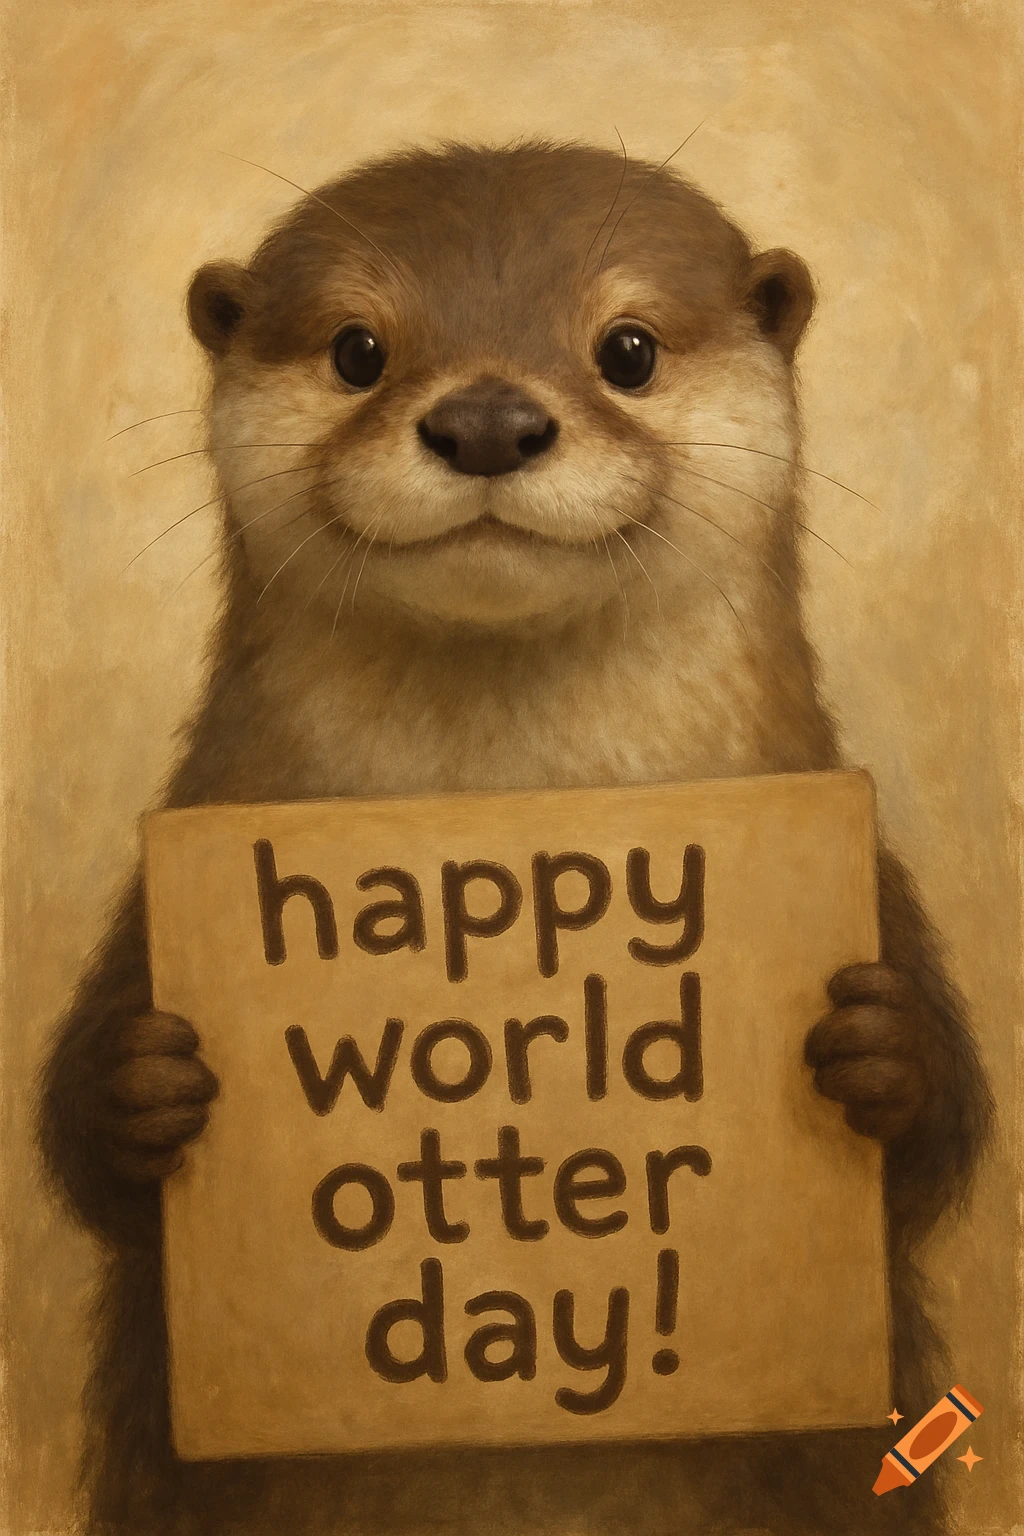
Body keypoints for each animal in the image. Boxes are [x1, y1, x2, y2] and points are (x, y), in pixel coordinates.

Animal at [40, 140, 991, 1536]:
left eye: (628, 347)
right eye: (358, 349)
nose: (487, 422)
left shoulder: (865, 859)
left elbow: (946, 1143)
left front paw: (876, 1045)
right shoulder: (179, 844)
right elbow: (75, 1146)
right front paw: (146, 1074)